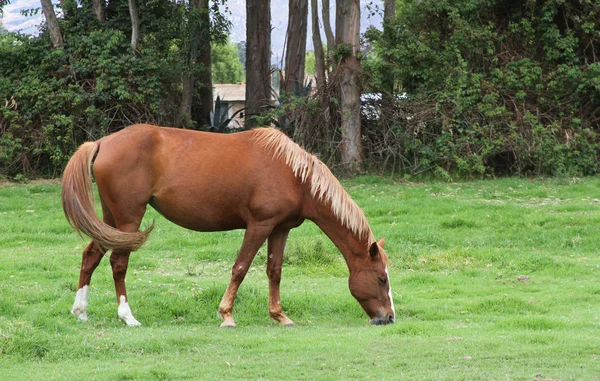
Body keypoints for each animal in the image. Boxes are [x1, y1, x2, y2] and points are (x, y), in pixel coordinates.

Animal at [63, 123, 396, 326]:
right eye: (381, 279)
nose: (389, 317)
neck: (294, 174)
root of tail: (101, 142)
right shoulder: (259, 225)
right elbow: (241, 268)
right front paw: (227, 315)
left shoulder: (280, 228)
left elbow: (274, 271)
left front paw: (279, 316)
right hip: (128, 219)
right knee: (118, 263)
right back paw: (127, 316)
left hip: (111, 220)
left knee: (91, 256)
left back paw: (80, 311)